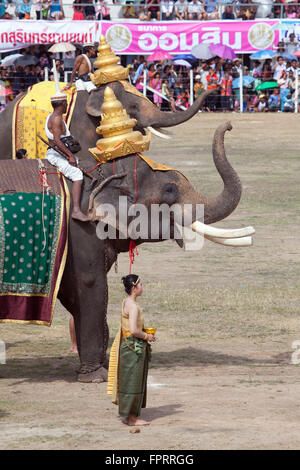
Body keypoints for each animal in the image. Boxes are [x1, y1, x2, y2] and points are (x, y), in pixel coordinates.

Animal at [0, 119, 253, 380]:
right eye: (170, 190)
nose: (229, 125)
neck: (98, 171)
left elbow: (74, 297)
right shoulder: (80, 229)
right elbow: (90, 286)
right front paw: (96, 376)